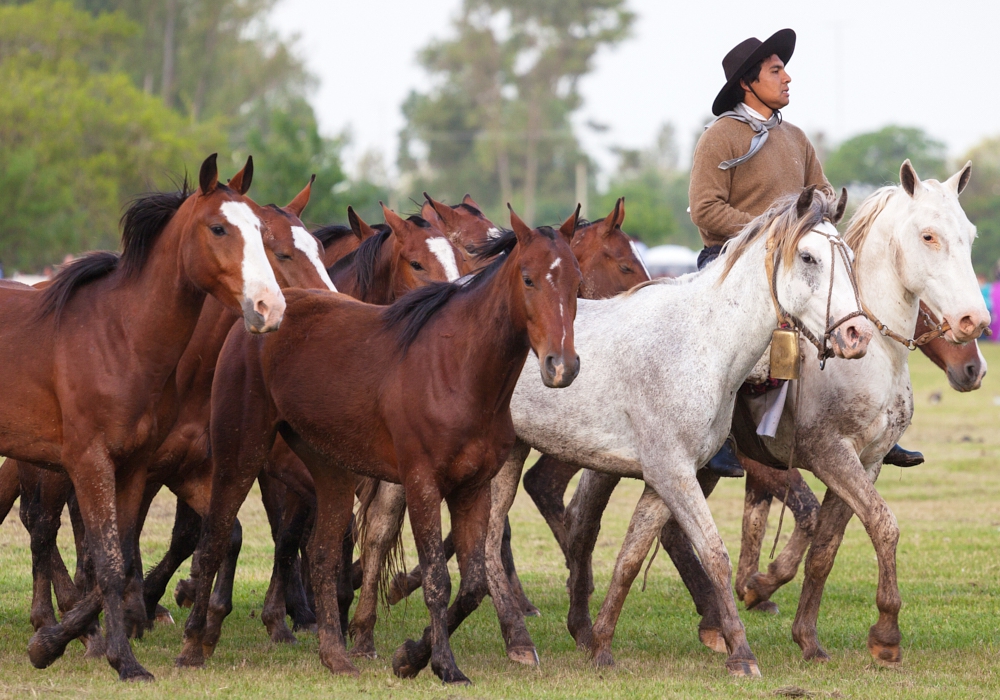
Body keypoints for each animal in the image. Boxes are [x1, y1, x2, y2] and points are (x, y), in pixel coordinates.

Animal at [0, 154, 286, 684]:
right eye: (218, 227)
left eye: (260, 230)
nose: (269, 307)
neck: (119, 337)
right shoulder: (89, 462)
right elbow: (111, 562)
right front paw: (122, 659)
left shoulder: (134, 467)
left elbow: (123, 561)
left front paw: (52, 645)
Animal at [180, 206, 584, 684]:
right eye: (528, 278)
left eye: (576, 281)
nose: (561, 365)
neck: (456, 368)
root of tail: (260, 321)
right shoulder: (422, 484)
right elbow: (437, 580)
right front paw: (444, 666)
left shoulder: (473, 488)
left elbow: (473, 585)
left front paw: (411, 655)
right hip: (240, 453)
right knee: (215, 537)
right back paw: (193, 645)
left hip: (329, 470)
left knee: (320, 554)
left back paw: (335, 656)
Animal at [478, 187, 876, 680]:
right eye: (808, 257)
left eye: (849, 258)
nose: (857, 334)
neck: (702, 344)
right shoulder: (675, 473)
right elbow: (714, 554)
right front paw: (741, 652)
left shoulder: (661, 480)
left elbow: (629, 557)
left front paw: (601, 645)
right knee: (487, 544)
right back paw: (517, 639)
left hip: (512, 454)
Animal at [552, 161, 988, 668]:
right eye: (928, 236)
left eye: (970, 235)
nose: (974, 327)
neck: (873, 359)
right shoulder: (822, 454)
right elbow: (873, 525)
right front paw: (884, 633)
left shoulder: (866, 462)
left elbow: (826, 545)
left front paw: (806, 635)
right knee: (585, 523)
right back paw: (585, 626)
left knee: (667, 532)